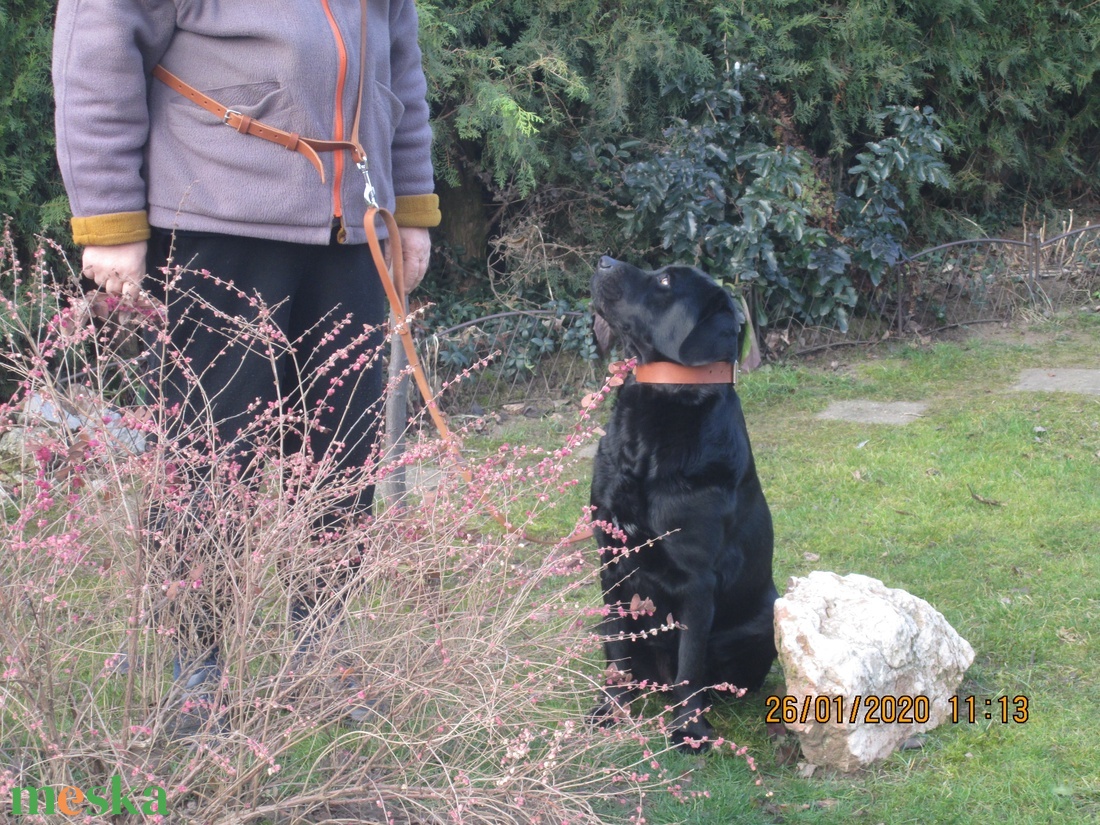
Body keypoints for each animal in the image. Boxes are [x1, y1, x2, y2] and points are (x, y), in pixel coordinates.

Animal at [589, 257, 778, 748]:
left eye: (665, 281)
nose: (604, 261)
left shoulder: (696, 580)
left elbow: (690, 666)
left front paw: (690, 730)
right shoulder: (610, 560)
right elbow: (618, 653)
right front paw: (611, 710)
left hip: (768, 618)